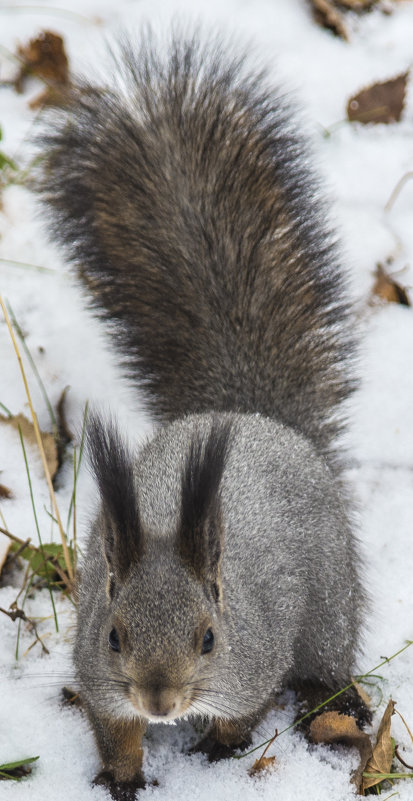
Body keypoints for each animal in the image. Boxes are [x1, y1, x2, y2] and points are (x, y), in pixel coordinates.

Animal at [36, 29, 366, 800]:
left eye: (209, 637)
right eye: (115, 635)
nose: (160, 700)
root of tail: (251, 417)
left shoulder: (253, 658)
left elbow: (242, 710)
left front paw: (221, 749)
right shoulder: (100, 677)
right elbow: (113, 728)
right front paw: (122, 776)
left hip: (331, 603)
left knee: (327, 658)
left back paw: (334, 701)